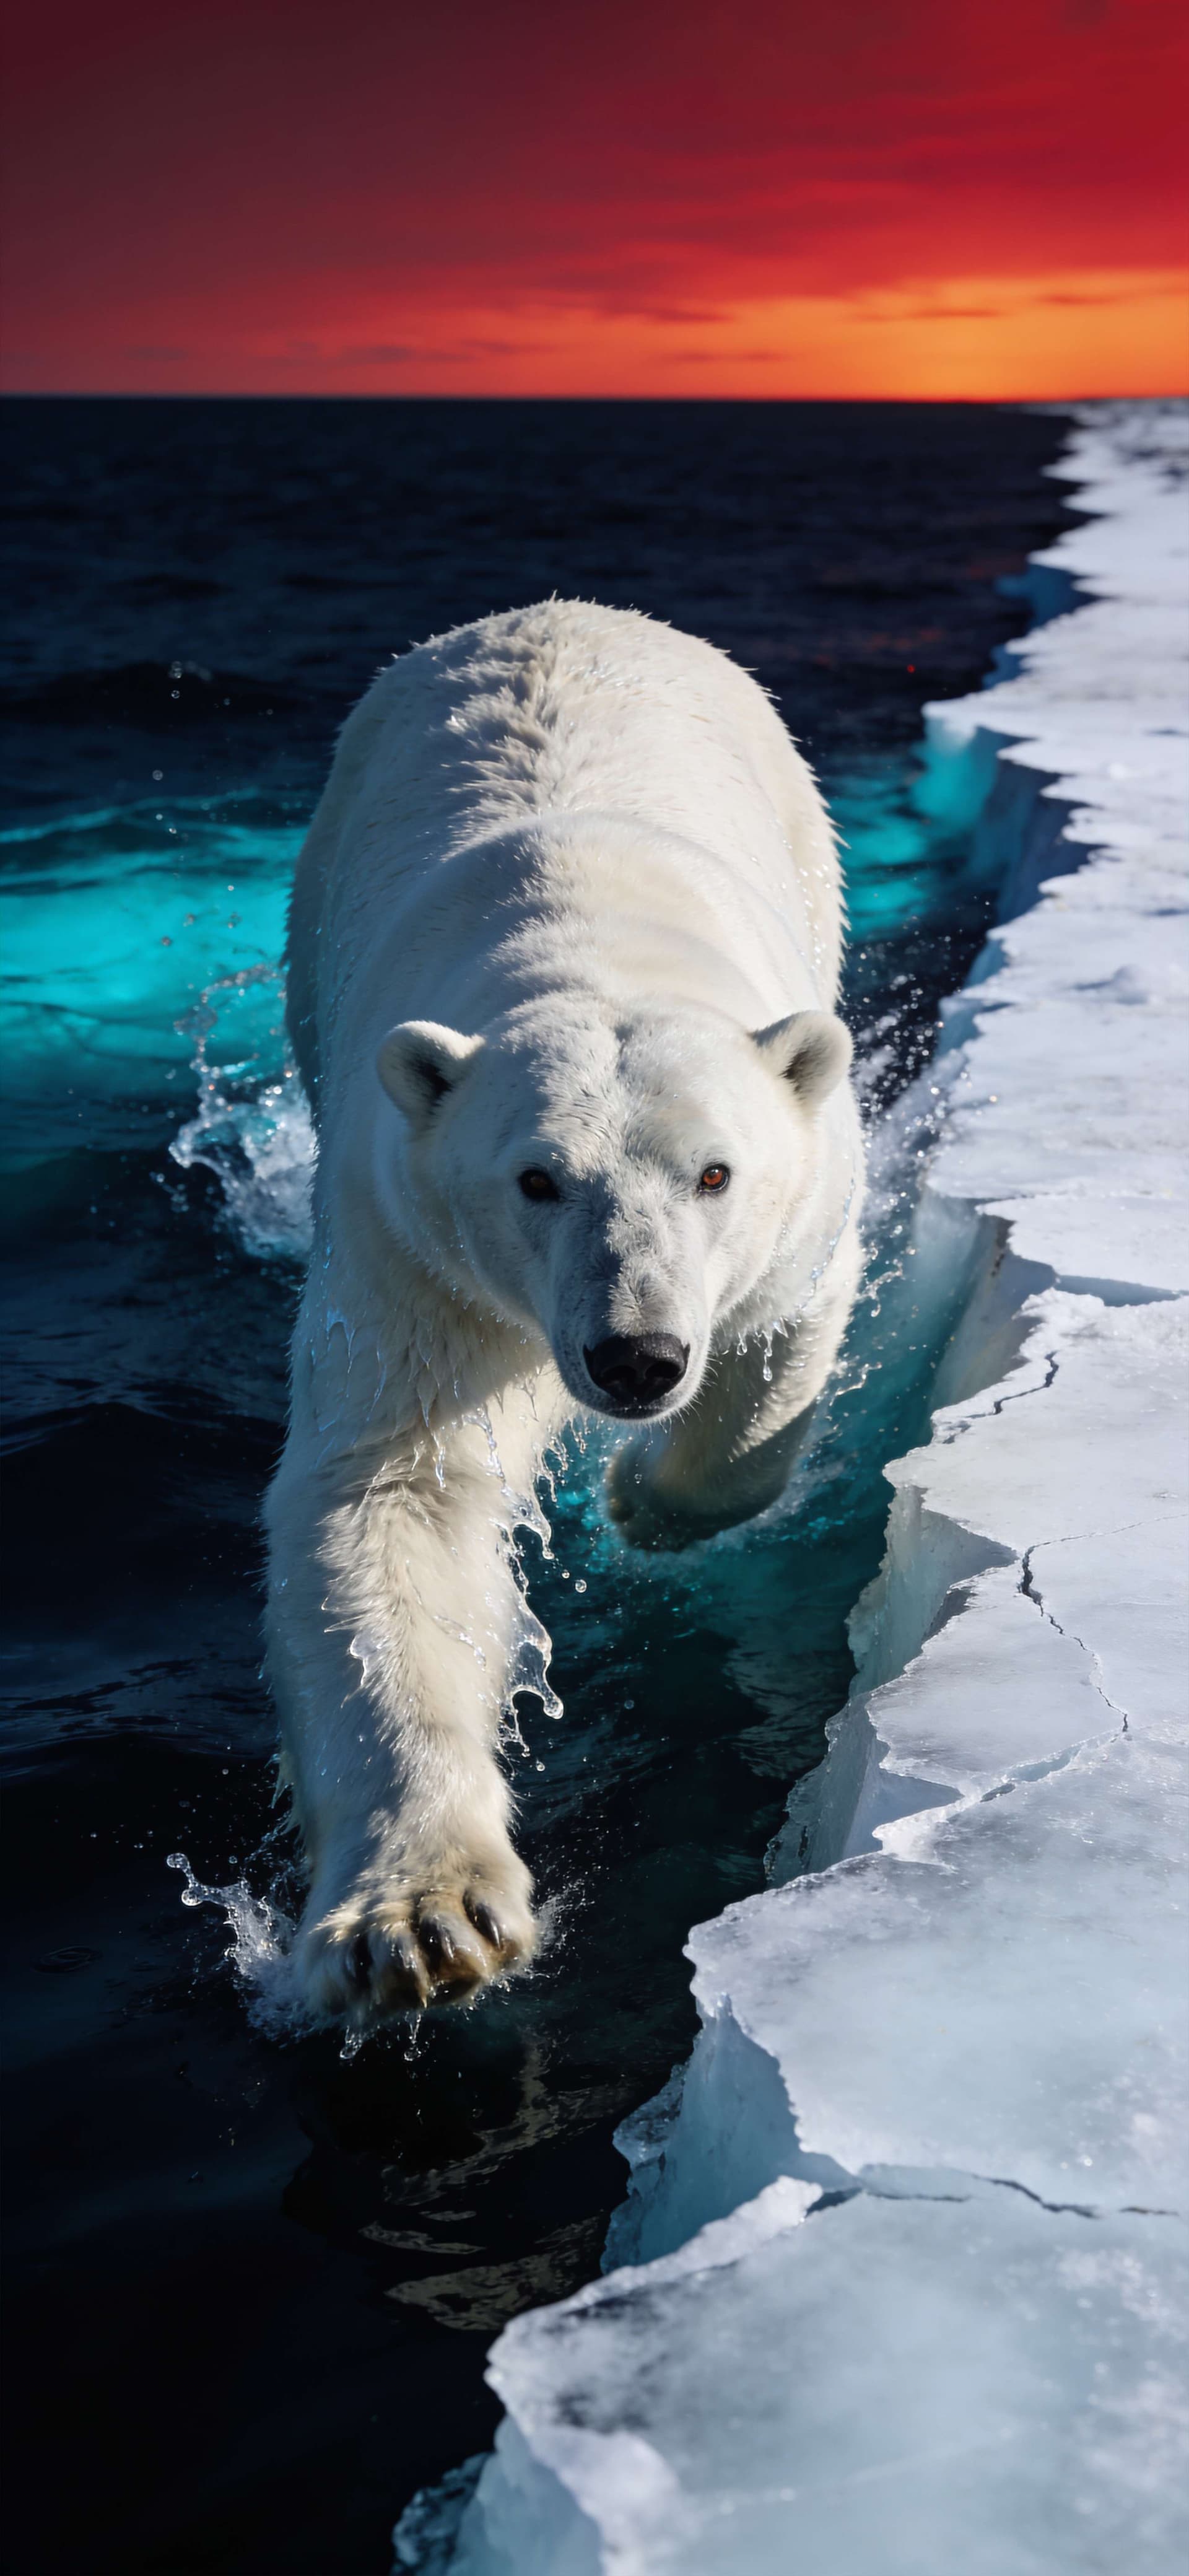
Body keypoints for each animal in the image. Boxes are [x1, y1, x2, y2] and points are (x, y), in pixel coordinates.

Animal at [267, 600, 864, 2024]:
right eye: (537, 1178)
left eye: (715, 1173)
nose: (637, 1356)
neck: (594, 942)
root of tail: (554, 611)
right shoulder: (416, 1247)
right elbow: (399, 1494)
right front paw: (420, 1922)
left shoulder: (804, 1198)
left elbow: (777, 1345)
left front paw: (644, 1499)